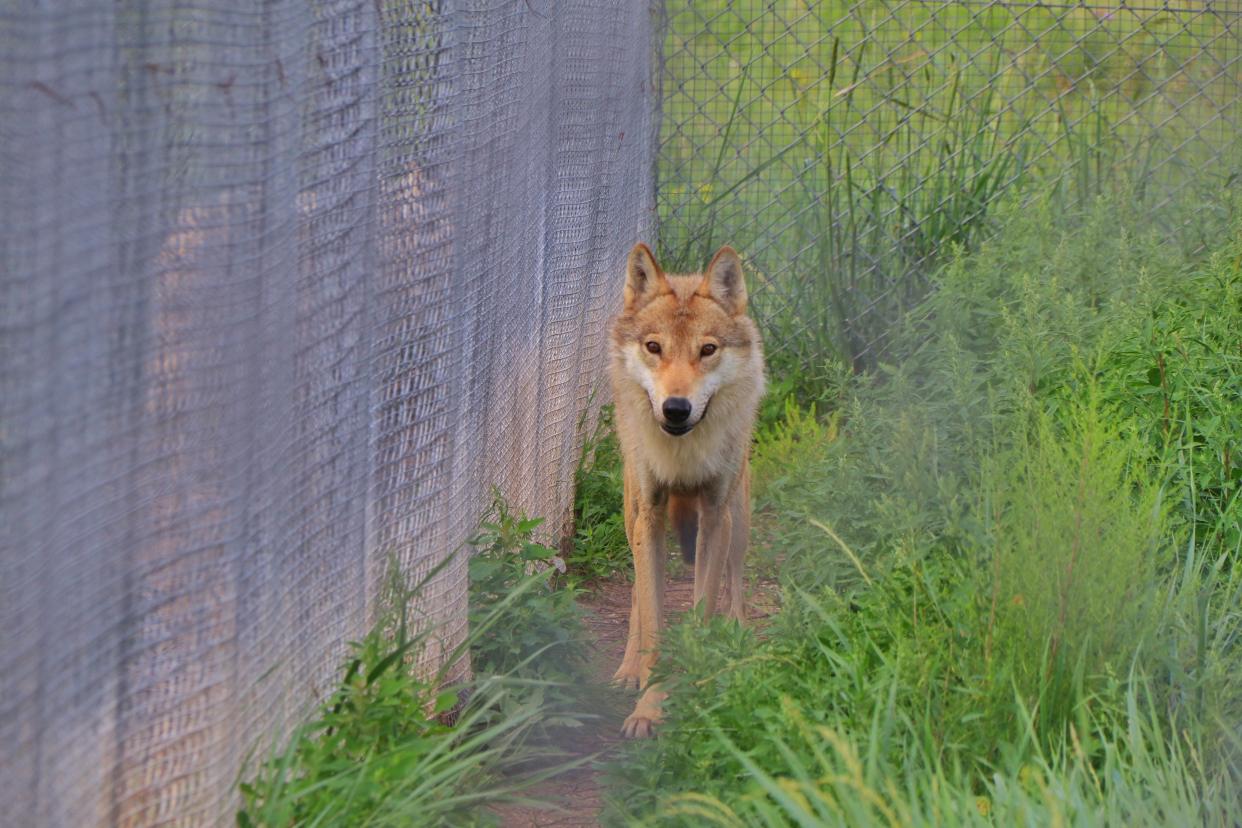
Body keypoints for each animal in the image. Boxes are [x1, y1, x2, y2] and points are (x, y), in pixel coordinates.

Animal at [606, 240, 760, 739]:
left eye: (707, 350)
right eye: (654, 347)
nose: (676, 408)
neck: (682, 456)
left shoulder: (715, 517)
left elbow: (702, 612)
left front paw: (697, 688)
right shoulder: (651, 517)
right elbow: (653, 620)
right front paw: (649, 706)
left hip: (739, 518)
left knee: (735, 583)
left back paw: (737, 640)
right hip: (632, 512)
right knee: (638, 593)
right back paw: (628, 670)